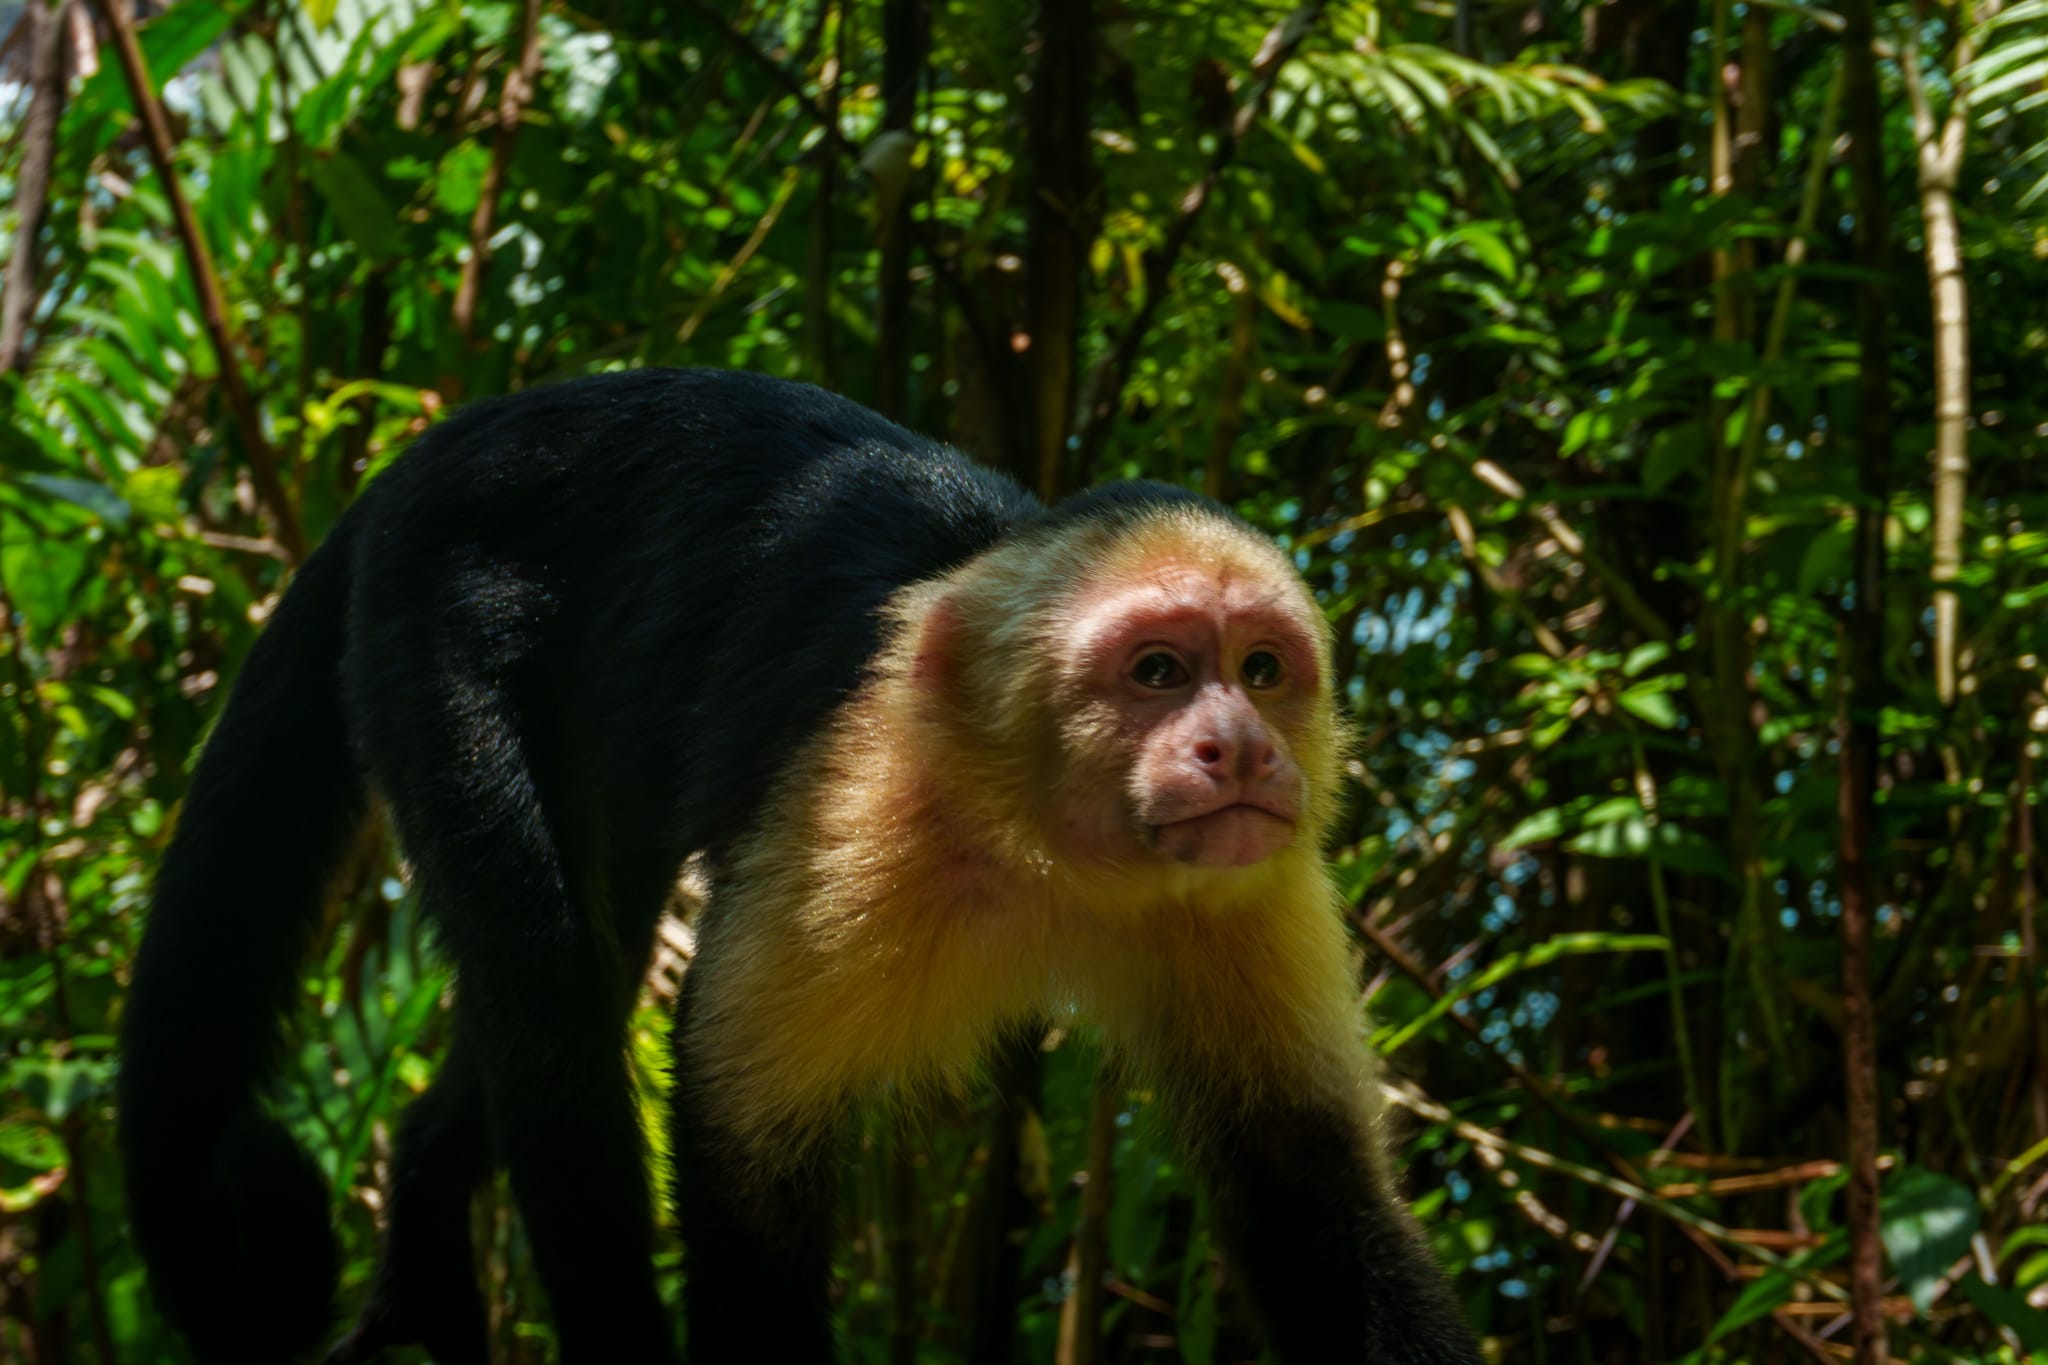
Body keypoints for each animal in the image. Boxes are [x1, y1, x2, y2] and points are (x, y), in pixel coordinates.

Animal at [115, 368, 1482, 1365]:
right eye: (1155, 672)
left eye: (1259, 669)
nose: (1239, 746)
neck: (1051, 845)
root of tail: (451, 438)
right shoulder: (853, 816)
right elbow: (737, 1141)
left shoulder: (1252, 887)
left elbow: (1311, 1189)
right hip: (438, 607)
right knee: (547, 992)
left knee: (586, 962)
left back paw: (425, 1218)